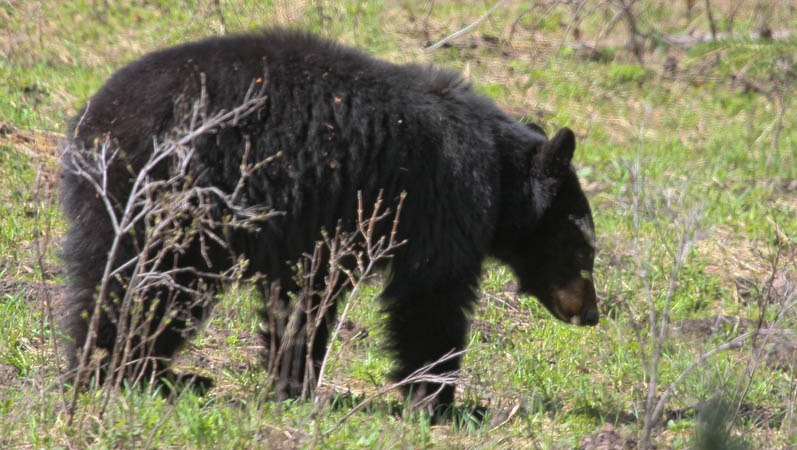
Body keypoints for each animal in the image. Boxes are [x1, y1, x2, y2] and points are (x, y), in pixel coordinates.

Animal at [60, 29, 596, 408]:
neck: (500, 173)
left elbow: (305, 297)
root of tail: (91, 122)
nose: (590, 314)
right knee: (150, 286)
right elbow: (430, 297)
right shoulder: (444, 197)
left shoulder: (320, 227)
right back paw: (127, 371)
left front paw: (291, 382)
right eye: (584, 250)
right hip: (172, 197)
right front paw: (439, 399)